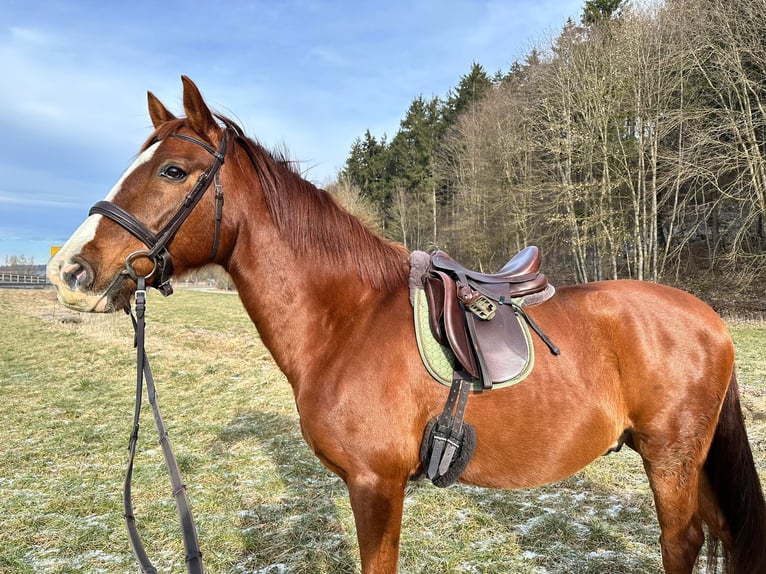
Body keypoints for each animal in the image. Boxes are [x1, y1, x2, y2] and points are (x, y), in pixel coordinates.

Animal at [48, 77, 766, 574]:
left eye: (173, 170)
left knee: (681, 543)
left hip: (672, 458)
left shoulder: (376, 485)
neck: (349, 319)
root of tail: (709, 316)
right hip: (687, 460)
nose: (72, 269)